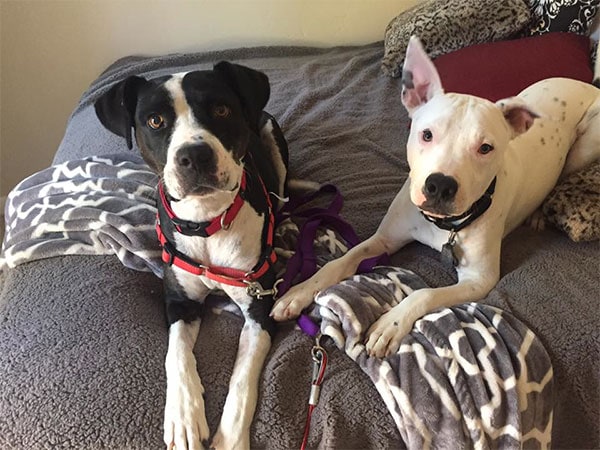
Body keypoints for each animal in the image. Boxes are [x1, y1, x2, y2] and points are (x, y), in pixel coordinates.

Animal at [95, 60, 288, 450]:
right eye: (155, 120)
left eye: (221, 109)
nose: (195, 156)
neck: (207, 221)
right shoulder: (179, 303)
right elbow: (177, 353)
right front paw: (184, 416)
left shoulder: (260, 307)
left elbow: (242, 377)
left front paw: (230, 440)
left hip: (270, 133)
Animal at [274, 35, 600, 356]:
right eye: (427, 134)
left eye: (485, 148)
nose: (440, 185)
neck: (443, 224)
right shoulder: (383, 239)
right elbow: (341, 261)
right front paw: (300, 291)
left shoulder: (479, 280)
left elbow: (424, 293)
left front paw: (391, 324)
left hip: (583, 148)